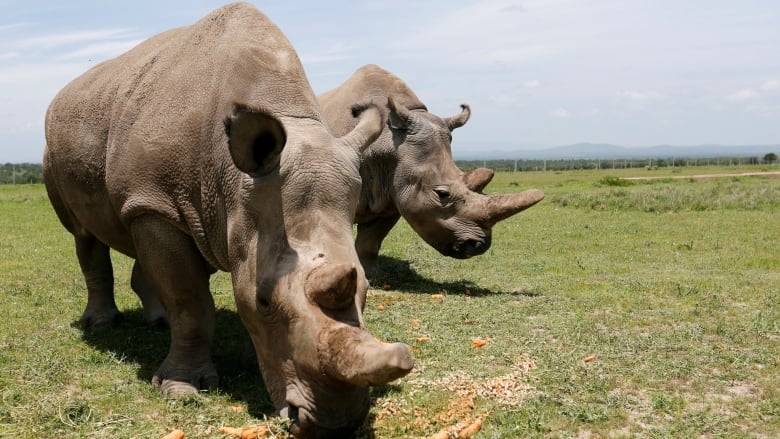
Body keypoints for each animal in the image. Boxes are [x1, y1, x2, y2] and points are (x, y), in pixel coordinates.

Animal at [43, 4, 412, 437]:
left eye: (367, 287)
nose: (333, 425)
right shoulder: (156, 201)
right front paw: (180, 389)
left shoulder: (175, 203)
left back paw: (157, 322)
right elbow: (190, 300)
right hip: (66, 156)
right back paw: (101, 326)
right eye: (263, 300)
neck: (233, 180)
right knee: (84, 234)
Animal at [318, 65, 544, 277]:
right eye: (441, 194)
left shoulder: (393, 193)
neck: (389, 141)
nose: (478, 246)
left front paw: (371, 275)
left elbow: (371, 242)